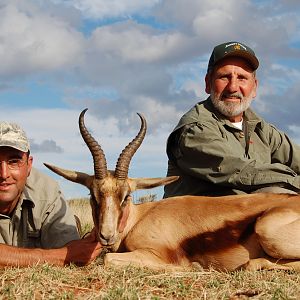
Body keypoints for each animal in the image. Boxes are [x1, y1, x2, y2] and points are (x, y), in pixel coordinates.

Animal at [45, 109, 300, 272]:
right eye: (93, 195)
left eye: (126, 196)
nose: (107, 235)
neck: (138, 219)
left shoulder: (157, 254)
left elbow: (106, 259)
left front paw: (192, 267)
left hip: (266, 229)